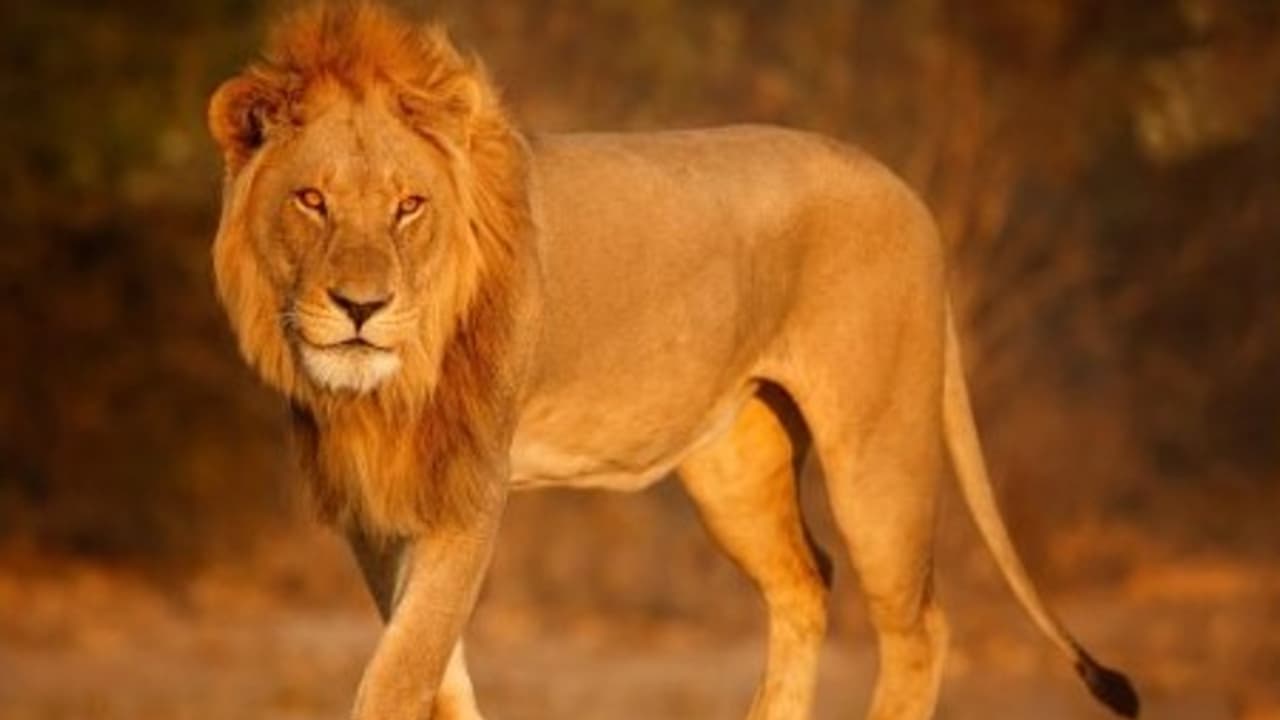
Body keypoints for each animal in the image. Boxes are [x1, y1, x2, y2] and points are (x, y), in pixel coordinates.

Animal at [207, 3, 1139, 719]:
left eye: (408, 206)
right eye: (311, 199)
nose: (361, 308)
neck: (384, 391)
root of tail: (907, 190)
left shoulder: (468, 491)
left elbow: (401, 674)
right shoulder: (374, 507)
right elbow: (438, 674)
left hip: (880, 450)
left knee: (917, 626)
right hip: (736, 464)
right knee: (805, 580)